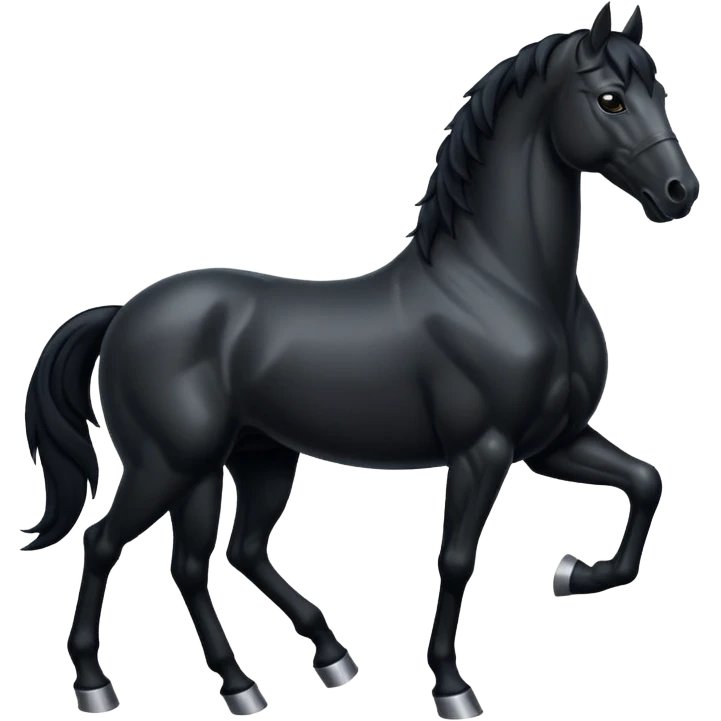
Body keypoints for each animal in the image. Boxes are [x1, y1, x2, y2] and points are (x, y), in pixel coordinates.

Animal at [20, 4, 696, 719]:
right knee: (107, 543)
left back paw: (283, 673)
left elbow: (645, 481)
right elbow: (456, 559)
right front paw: (452, 687)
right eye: (611, 99)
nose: (680, 192)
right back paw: (97, 683)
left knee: (214, 559)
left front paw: (574, 573)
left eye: (660, 92)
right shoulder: (482, 451)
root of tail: (122, 314)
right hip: (167, 464)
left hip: (245, 460)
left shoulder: (551, 443)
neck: (502, 284)